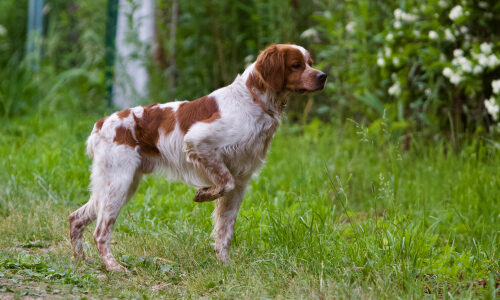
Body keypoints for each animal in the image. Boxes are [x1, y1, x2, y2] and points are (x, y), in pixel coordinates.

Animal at [70, 44, 328, 272]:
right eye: (296, 65)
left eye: (310, 63)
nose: (323, 76)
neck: (253, 102)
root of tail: (102, 123)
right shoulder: (198, 141)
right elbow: (223, 183)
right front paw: (203, 194)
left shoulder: (241, 183)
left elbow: (225, 231)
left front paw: (225, 265)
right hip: (119, 183)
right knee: (100, 232)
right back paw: (113, 267)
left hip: (117, 185)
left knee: (75, 217)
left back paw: (81, 260)